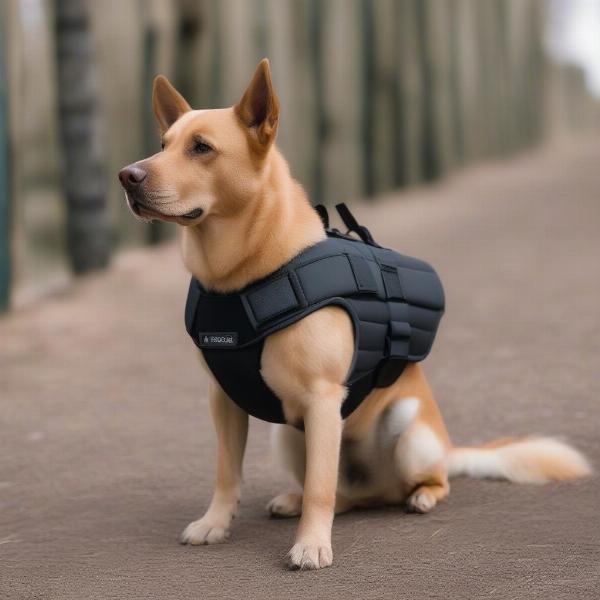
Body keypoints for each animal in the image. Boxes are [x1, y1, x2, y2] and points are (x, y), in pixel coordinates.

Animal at [118, 61, 592, 572]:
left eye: (201, 147)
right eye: (163, 143)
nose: (126, 176)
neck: (243, 276)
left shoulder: (323, 400)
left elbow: (319, 489)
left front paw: (311, 545)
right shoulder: (223, 401)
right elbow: (228, 474)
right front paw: (215, 524)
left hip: (408, 429)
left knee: (408, 484)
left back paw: (421, 496)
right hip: (288, 436)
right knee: (343, 495)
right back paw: (299, 500)